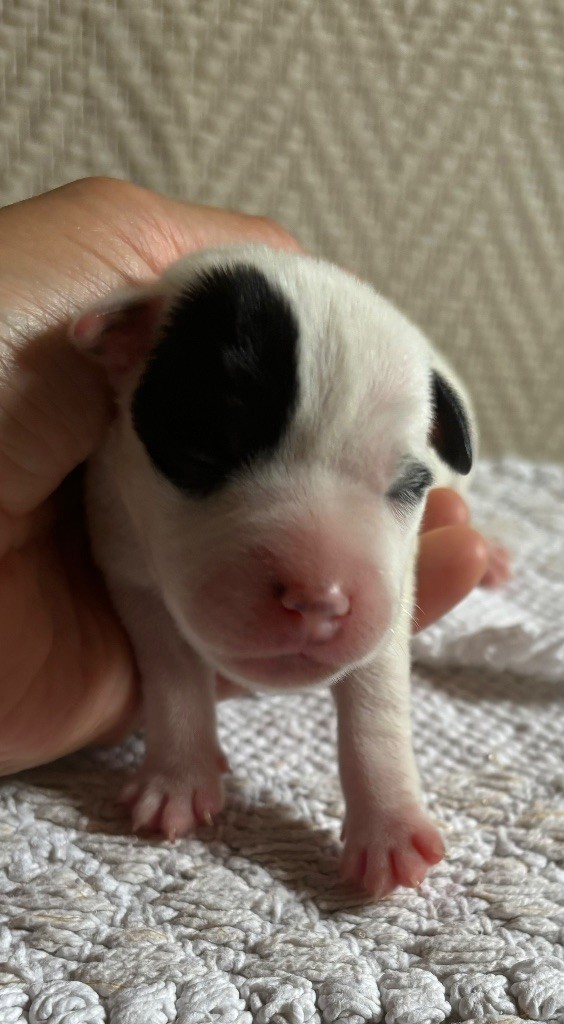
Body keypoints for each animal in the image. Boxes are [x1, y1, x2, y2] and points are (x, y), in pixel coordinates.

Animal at [69, 245, 476, 897]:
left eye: (410, 486)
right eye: (202, 452)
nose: (319, 600)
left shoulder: (391, 587)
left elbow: (376, 698)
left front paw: (389, 828)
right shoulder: (128, 558)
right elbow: (173, 672)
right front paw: (178, 778)